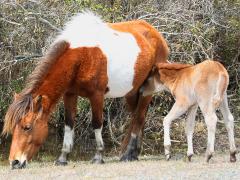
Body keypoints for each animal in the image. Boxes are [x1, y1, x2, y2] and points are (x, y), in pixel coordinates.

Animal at [2, 11, 170, 169]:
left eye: (27, 127)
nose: (14, 162)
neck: (81, 56)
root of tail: (156, 35)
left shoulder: (97, 95)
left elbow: (97, 123)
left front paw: (98, 157)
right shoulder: (69, 94)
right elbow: (69, 124)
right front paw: (62, 158)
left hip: (147, 91)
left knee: (139, 117)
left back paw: (128, 154)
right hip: (131, 92)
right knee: (137, 116)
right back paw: (135, 153)